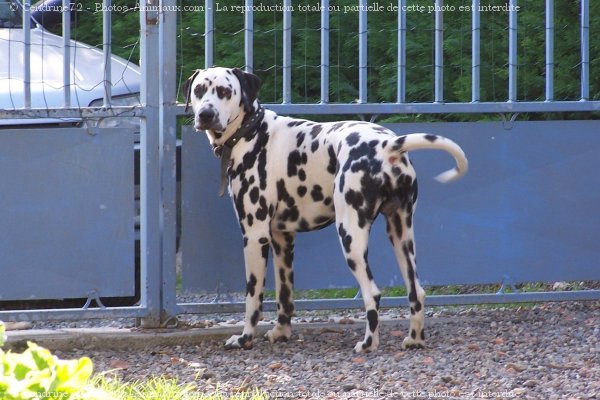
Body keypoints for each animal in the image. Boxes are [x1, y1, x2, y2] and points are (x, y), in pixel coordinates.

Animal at [183, 66, 468, 354]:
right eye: (199, 90)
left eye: (224, 91)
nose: (205, 114)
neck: (252, 132)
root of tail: (387, 145)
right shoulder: (282, 240)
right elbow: (284, 295)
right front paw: (281, 332)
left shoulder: (255, 237)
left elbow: (253, 298)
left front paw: (244, 338)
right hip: (401, 237)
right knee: (416, 291)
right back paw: (415, 338)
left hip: (350, 237)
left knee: (372, 293)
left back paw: (368, 343)